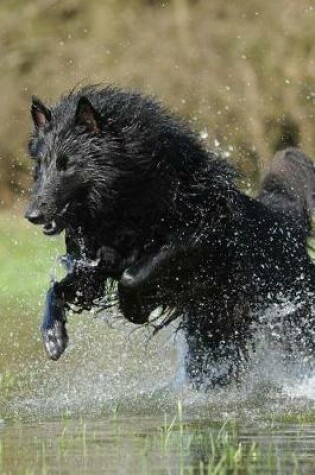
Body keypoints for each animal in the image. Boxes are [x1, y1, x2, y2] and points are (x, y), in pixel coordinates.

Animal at [24, 86, 315, 386]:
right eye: (40, 165)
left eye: (66, 165)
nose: (32, 214)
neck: (125, 199)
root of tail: (285, 224)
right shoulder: (92, 267)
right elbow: (57, 288)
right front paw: (53, 335)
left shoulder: (194, 237)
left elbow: (132, 276)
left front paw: (135, 310)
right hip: (213, 334)